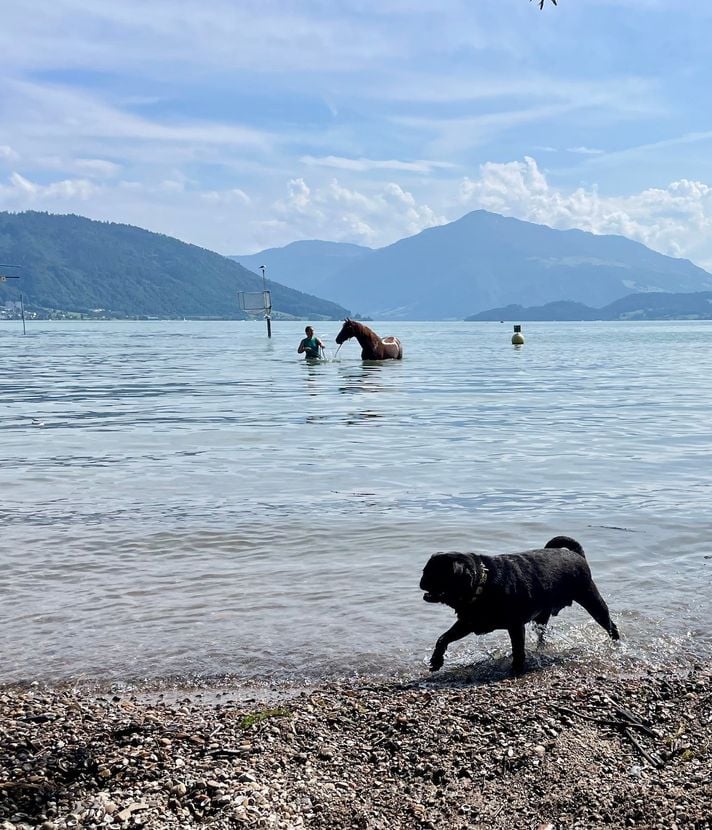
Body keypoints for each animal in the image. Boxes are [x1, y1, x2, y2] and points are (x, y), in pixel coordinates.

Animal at [420, 540, 620, 676]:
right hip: (542, 617)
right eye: (425, 571)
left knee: (611, 626)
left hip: (592, 601)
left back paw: (617, 645)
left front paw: (516, 668)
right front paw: (436, 660)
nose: (422, 581)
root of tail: (577, 555)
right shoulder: (467, 623)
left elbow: (518, 649)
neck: (482, 584)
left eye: (434, 574)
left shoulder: (515, 627)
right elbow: (443, 638)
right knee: (541, 635)